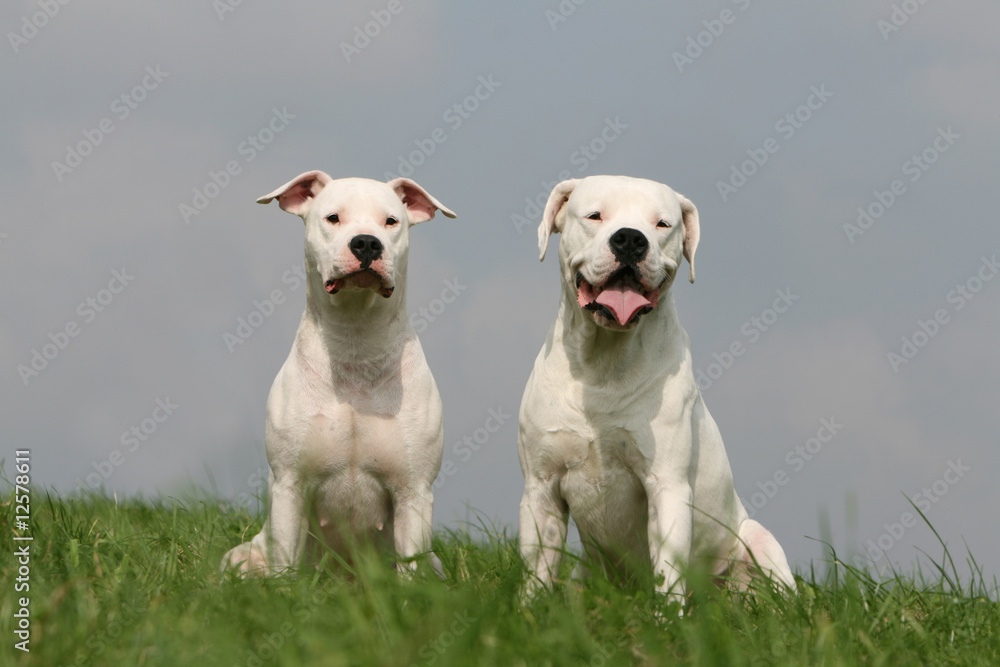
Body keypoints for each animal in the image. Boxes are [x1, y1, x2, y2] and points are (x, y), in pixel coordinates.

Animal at [224, 174, 458, 580]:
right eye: (333, 218)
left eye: (391, 221)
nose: (366, 242)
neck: (354, 343)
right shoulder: (290, 484)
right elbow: (285, 561)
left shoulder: (413, 490)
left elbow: (410, 568)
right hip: (240, 556)